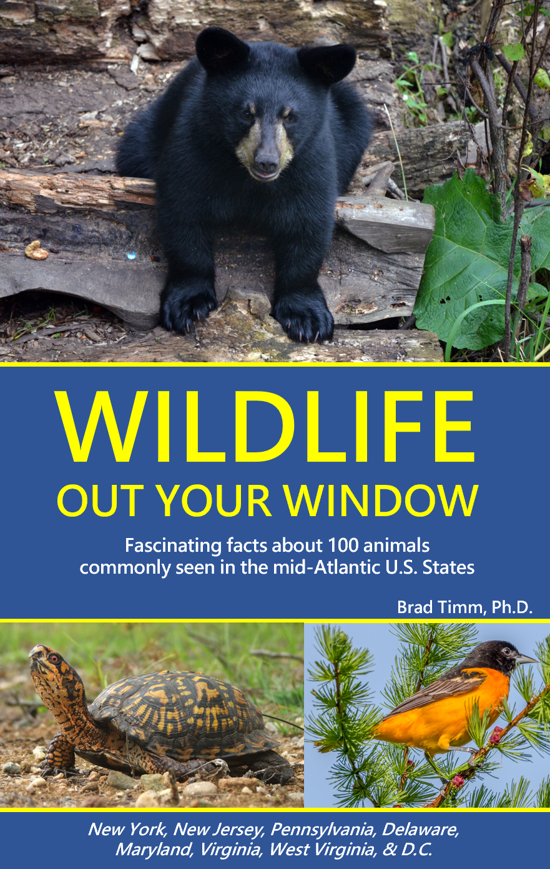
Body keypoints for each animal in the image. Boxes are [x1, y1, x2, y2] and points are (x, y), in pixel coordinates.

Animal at [117, 26, 372, 343]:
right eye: (246, 113)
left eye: (290, 116)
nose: (267, 162)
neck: (250, 181)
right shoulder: (194, 144)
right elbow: (183, 213)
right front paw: (187, 304)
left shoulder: (314, 160)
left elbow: (308, 225)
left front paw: (307, 317)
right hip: (149, 134)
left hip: (353, 122)